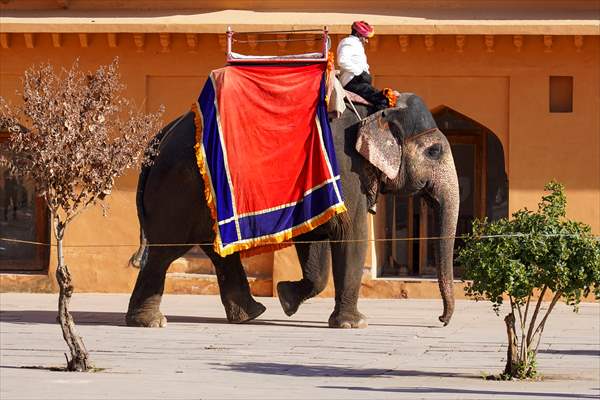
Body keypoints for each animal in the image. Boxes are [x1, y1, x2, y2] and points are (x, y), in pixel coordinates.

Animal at [124, 93, 458, 328]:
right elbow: (351, 233)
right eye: (434, 151)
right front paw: (355, 324)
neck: (373, 111)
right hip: (179, 191)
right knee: (165, 252)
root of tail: (158, 139)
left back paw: (251, 314)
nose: (441, 321)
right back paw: (150, 322)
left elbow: (316, 240)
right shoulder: (347, 170)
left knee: (217, 253)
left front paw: (286, 299)